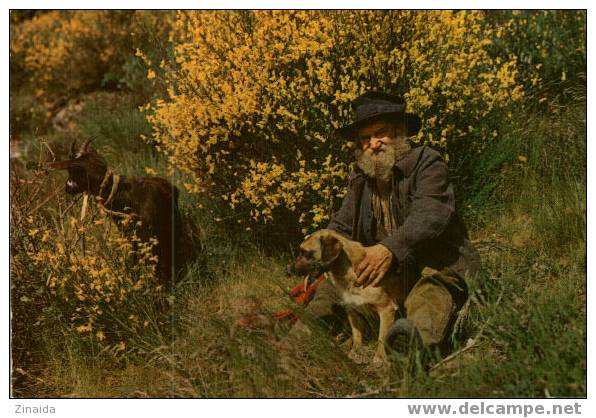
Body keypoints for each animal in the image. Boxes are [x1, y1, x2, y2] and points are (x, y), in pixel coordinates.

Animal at [292, 229, 402, 362]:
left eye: (306, 252)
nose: (290, 269)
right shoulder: (352, 311)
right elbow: (357, 335)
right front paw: (355, 351)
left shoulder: (386, 310)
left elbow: (382, 338)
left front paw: (380, 358)